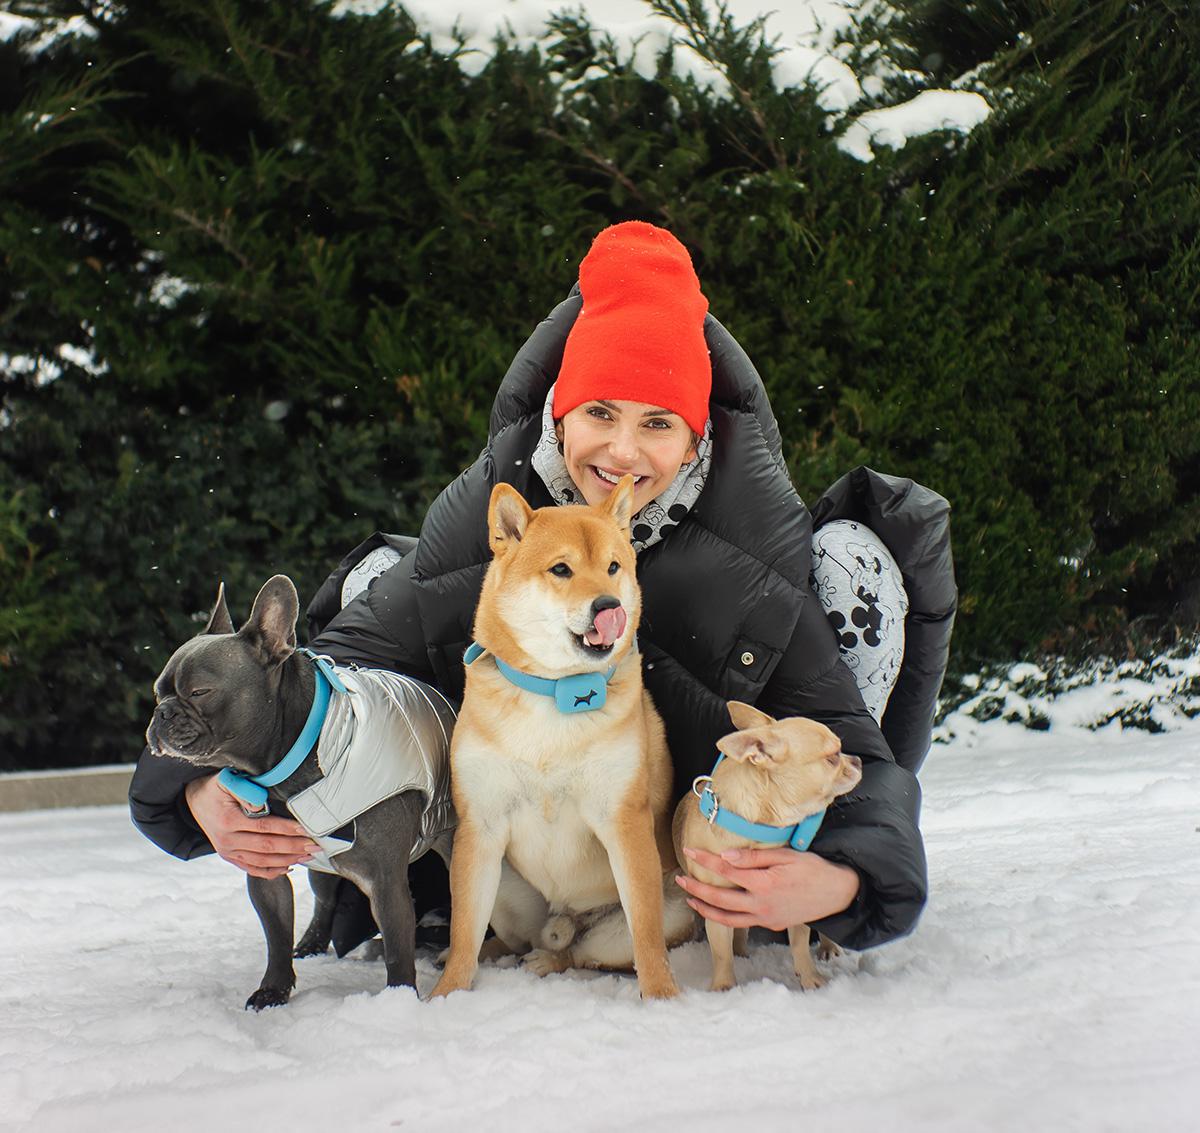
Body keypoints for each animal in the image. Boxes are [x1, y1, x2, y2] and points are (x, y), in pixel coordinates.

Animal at [432, 475, 696, 998]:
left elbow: (648, 936)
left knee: (578, 952)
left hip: (668, 901)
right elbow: (464, 929)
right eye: (561, 569)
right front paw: (445, 996)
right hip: (495, 877)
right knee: (509, 937)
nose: (609, 606)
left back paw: (547, 961)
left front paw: (662, 998)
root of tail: (563, 918)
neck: (556, 691)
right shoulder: (481, 826)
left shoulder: (622, 820)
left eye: (613, 567)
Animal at [676, 705, 864, 988]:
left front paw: (810, 977)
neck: (759, 833)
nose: (858, 760)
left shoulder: (792, 898)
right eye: (832, 757)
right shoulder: (717, 905)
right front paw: (724, 986)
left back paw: (828, 947)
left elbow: (799, 941)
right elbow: (721, 951)